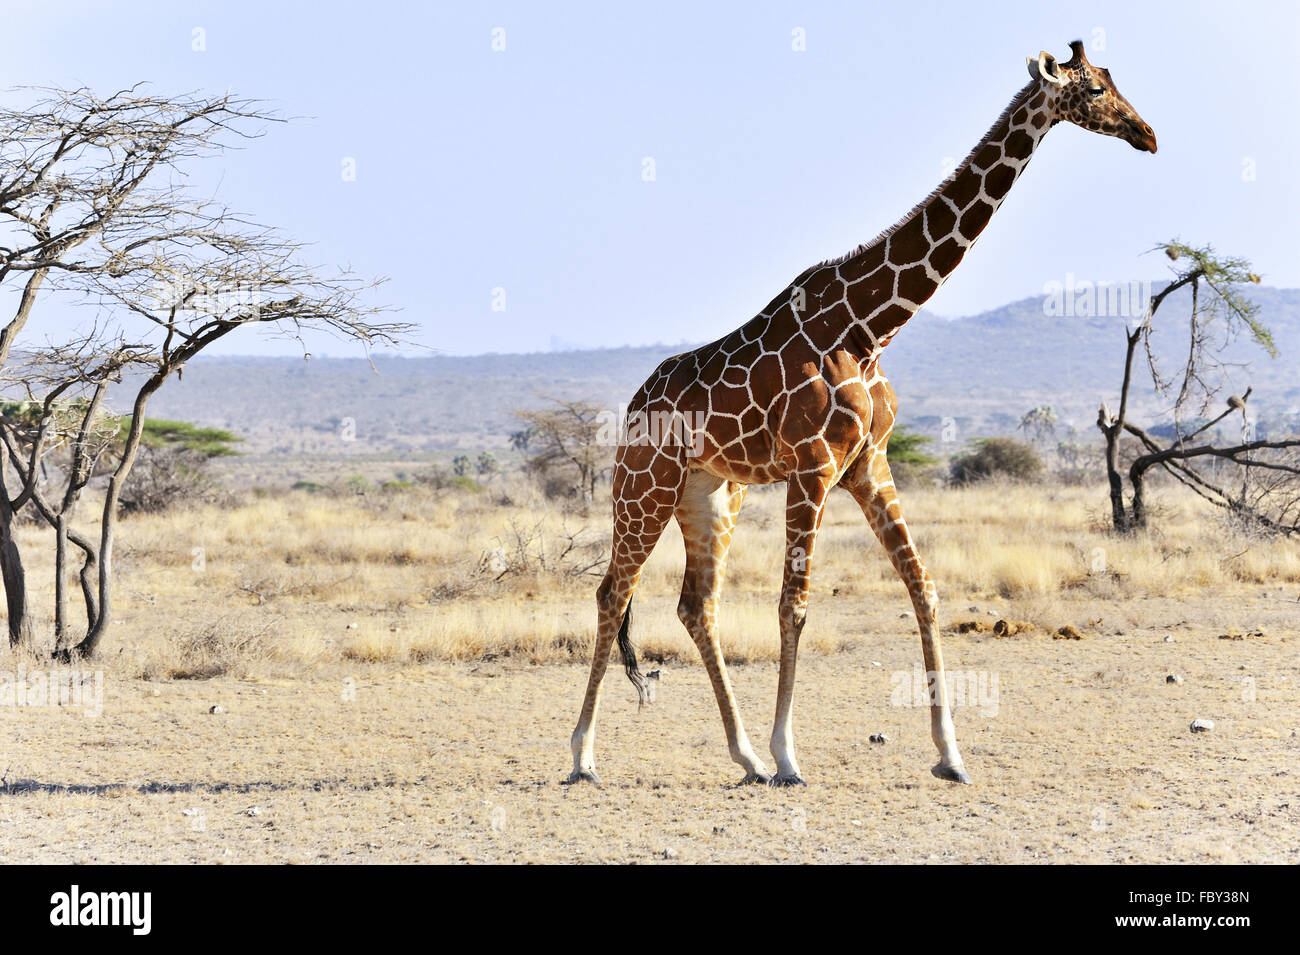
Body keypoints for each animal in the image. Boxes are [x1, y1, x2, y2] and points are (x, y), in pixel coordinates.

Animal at [569, 39, 1159, 784]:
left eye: (1112, 80)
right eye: (1095, 91)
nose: (1148, 134)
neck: (872, 325)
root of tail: (632, 406)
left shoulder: (867, 465)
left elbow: (923, 586)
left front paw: (950, 754)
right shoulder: (813, 467)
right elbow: (794, 604)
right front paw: (791, 754)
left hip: (711, 493)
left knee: (695, 605)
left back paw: (743, 754)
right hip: (643, 488)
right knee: (612, 593)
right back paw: (585, 753)